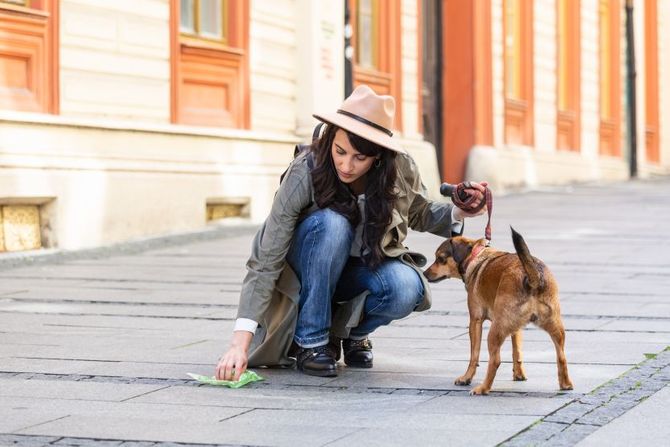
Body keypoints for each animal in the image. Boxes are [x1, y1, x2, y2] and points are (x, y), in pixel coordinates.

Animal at [428, 229, 576, 394]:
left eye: (440, 259)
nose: (425, 273)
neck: (475, 256)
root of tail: (533, 278)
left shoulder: (475, 320)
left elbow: (474, 355)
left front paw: (466, 378)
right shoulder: (516, 328)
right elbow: (516, 351)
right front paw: (519, 375)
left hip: (495, 330)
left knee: (495, 360)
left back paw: (483, 388)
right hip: (555, 327)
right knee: (561, 356)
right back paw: (566, 384)